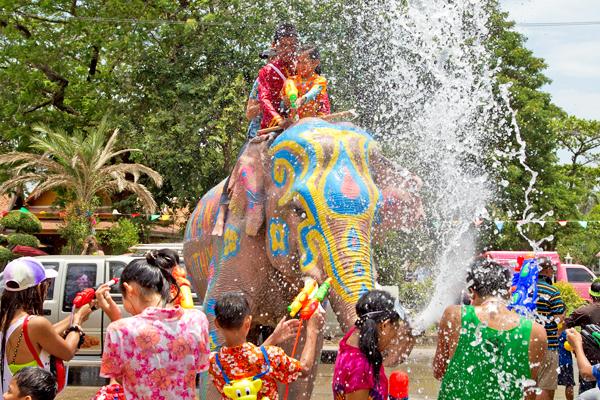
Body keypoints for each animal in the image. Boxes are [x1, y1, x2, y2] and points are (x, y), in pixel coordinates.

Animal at [185, 119, 424, 400]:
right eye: (299, 211)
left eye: (376, 215)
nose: (396, 330)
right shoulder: (236, 239)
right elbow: (218, 328)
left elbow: (297, 354)